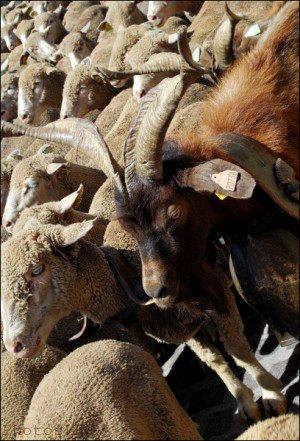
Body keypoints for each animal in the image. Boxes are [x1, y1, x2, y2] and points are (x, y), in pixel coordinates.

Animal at [1, 218, 288, 422]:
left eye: (37, 269)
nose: (14, 346)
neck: (130, 273)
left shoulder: (217, 296)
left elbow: (239, 351)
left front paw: (271, 394)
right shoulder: (180, 326)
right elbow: (214, 359)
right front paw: (244, 400)